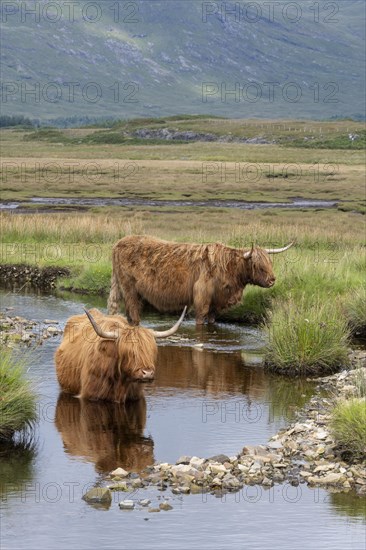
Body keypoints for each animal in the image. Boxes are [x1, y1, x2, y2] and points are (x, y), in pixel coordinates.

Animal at [107, 235, 294, 326]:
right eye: (258, 265)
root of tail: (118, 243)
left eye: (270, 262)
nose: (272, 280)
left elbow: (212, 319)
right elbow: (200, 319)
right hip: (129, 288)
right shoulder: (201, 297)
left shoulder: (217, 302)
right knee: (133, 313)